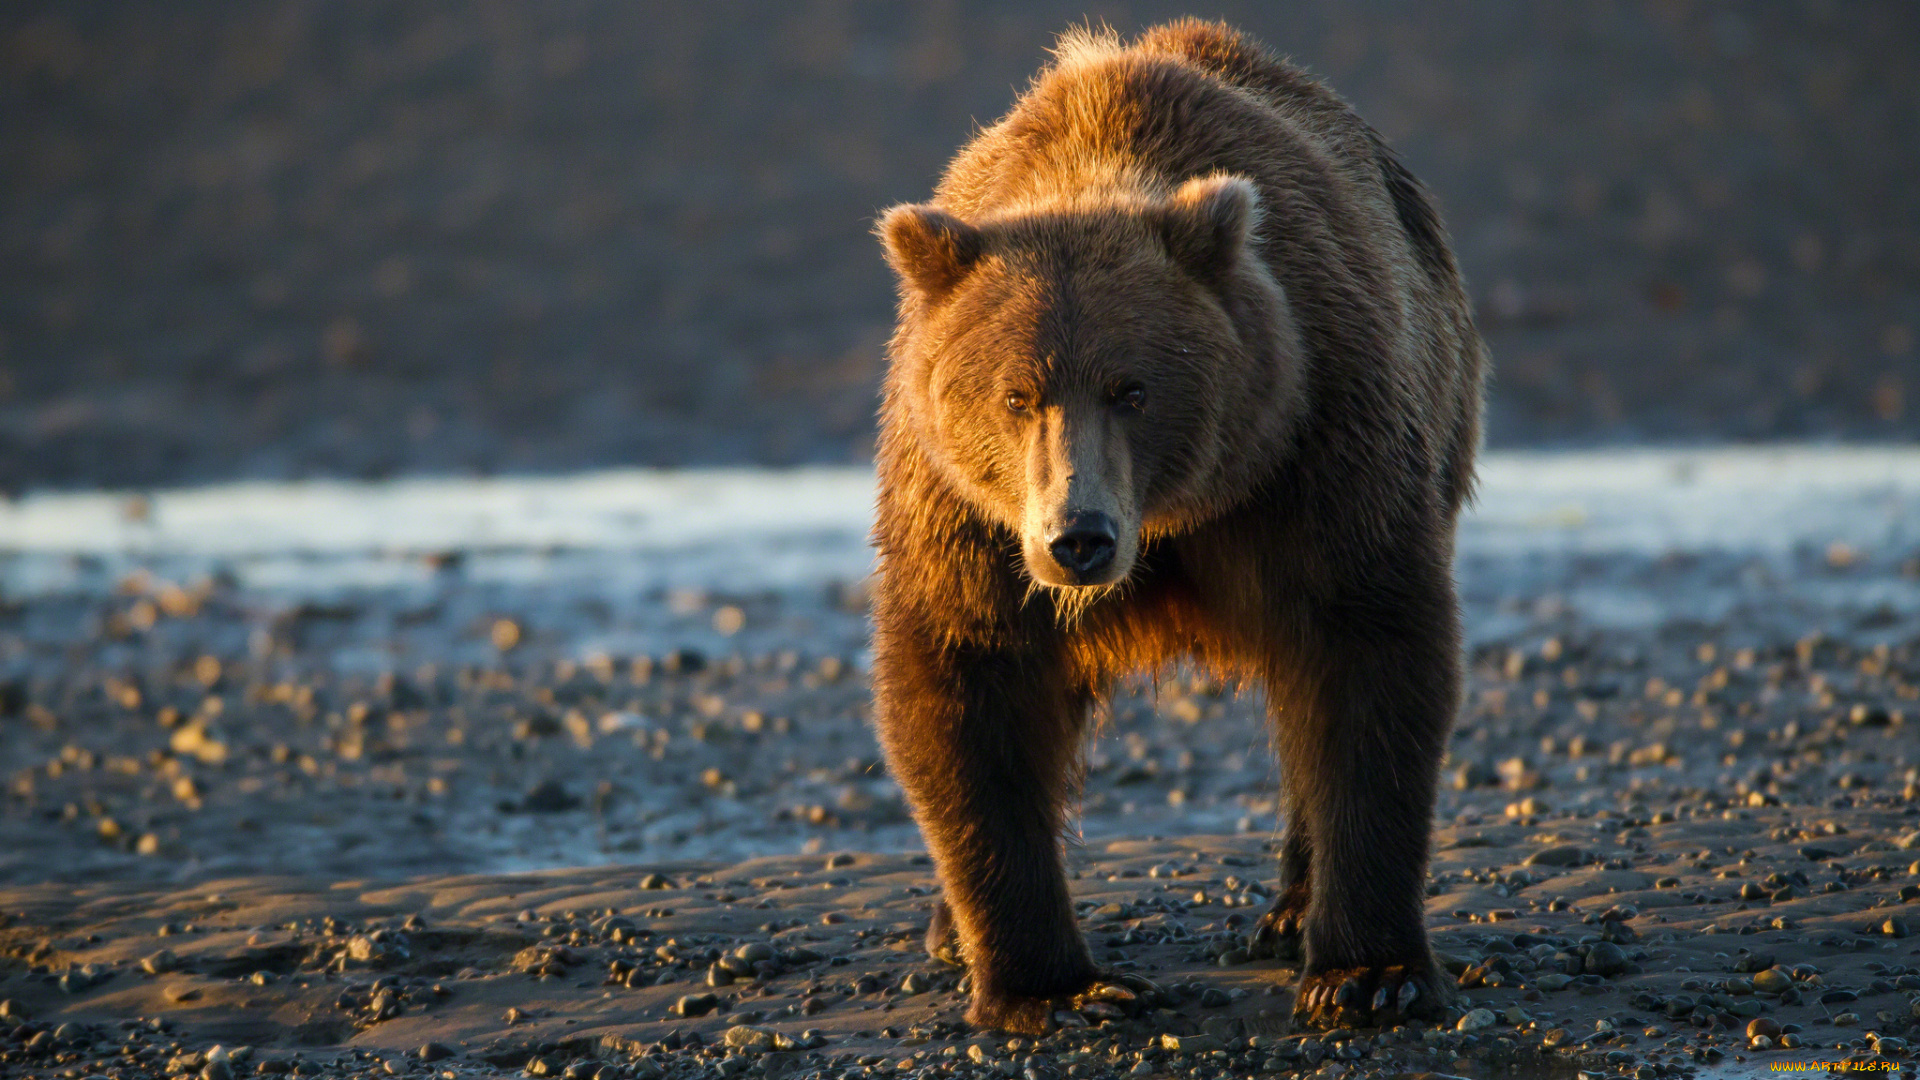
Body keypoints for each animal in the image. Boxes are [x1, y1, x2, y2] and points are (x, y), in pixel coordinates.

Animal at [867, 14, 1482, 1022]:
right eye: (1014, 395)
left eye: (1133, 388)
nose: (1079, 537)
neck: (1174, 519)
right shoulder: (965, 515)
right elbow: (968, 682)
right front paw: (1051, 987)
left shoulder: (1315, 443)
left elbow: (1367, 651)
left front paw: (1370, 976)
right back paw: (945, 928)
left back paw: (1291, 910)